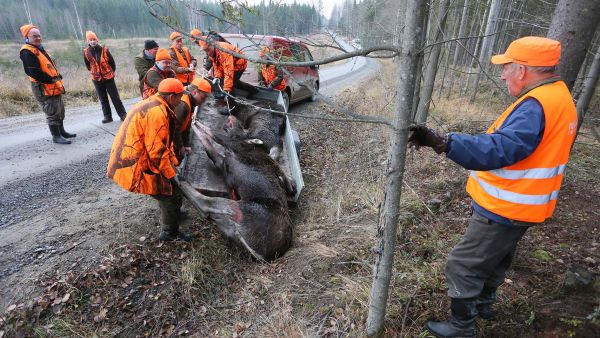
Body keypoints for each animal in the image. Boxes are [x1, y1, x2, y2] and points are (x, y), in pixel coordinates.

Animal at [180, 121, 298, 262]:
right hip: (231, 227)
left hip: (240, 209)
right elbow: (209, 148)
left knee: (205, 204)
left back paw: (178, 178)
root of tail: (262, 257)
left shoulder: (232, 144)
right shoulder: (224, 163)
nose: (229, 123)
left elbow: (212, 135)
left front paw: (194, 122)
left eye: (243, 130)